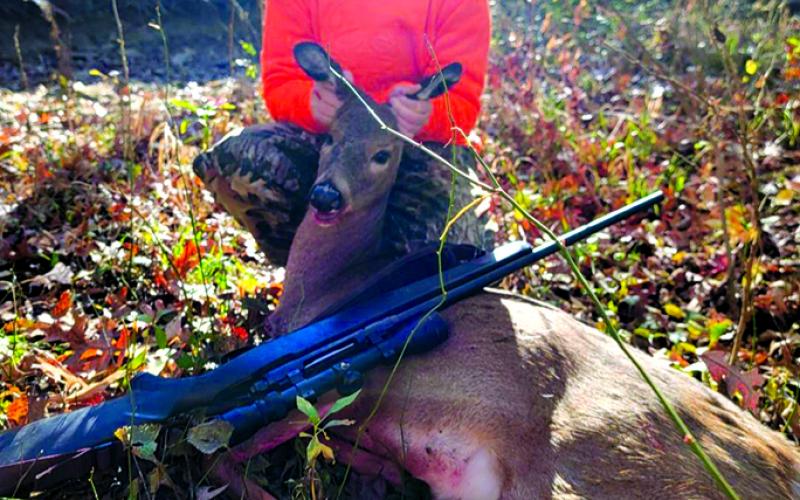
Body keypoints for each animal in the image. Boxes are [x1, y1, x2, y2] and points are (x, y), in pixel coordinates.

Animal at [208, 43, 800, 499]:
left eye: (384, 153)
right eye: (329, 138)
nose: (327, 196)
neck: (333, 290)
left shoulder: (336, 387)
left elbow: (227, 451)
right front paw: (382, 477)